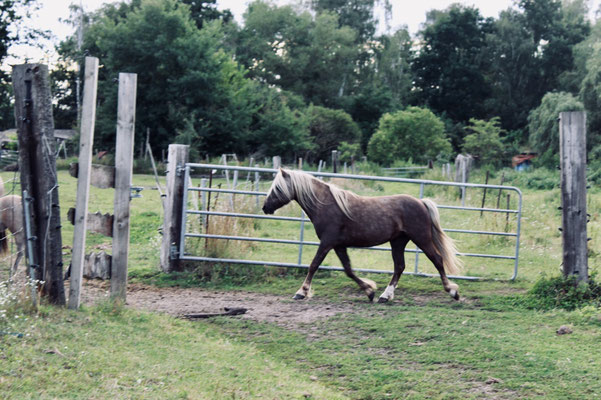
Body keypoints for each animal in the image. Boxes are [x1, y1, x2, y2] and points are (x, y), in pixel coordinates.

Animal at [260, 169, 462, 304]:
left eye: (277, 188)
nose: (265, 207)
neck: (326, 205)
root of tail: (421, 202)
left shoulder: (327, 242)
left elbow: (314, 265)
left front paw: (301, 292)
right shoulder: (338, 245)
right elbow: (348, 269)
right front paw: (369, 291)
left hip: (421, 238)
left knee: (437, 259)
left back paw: (453, 292)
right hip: (398, 242)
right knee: (399, 267)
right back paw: (384, 296)